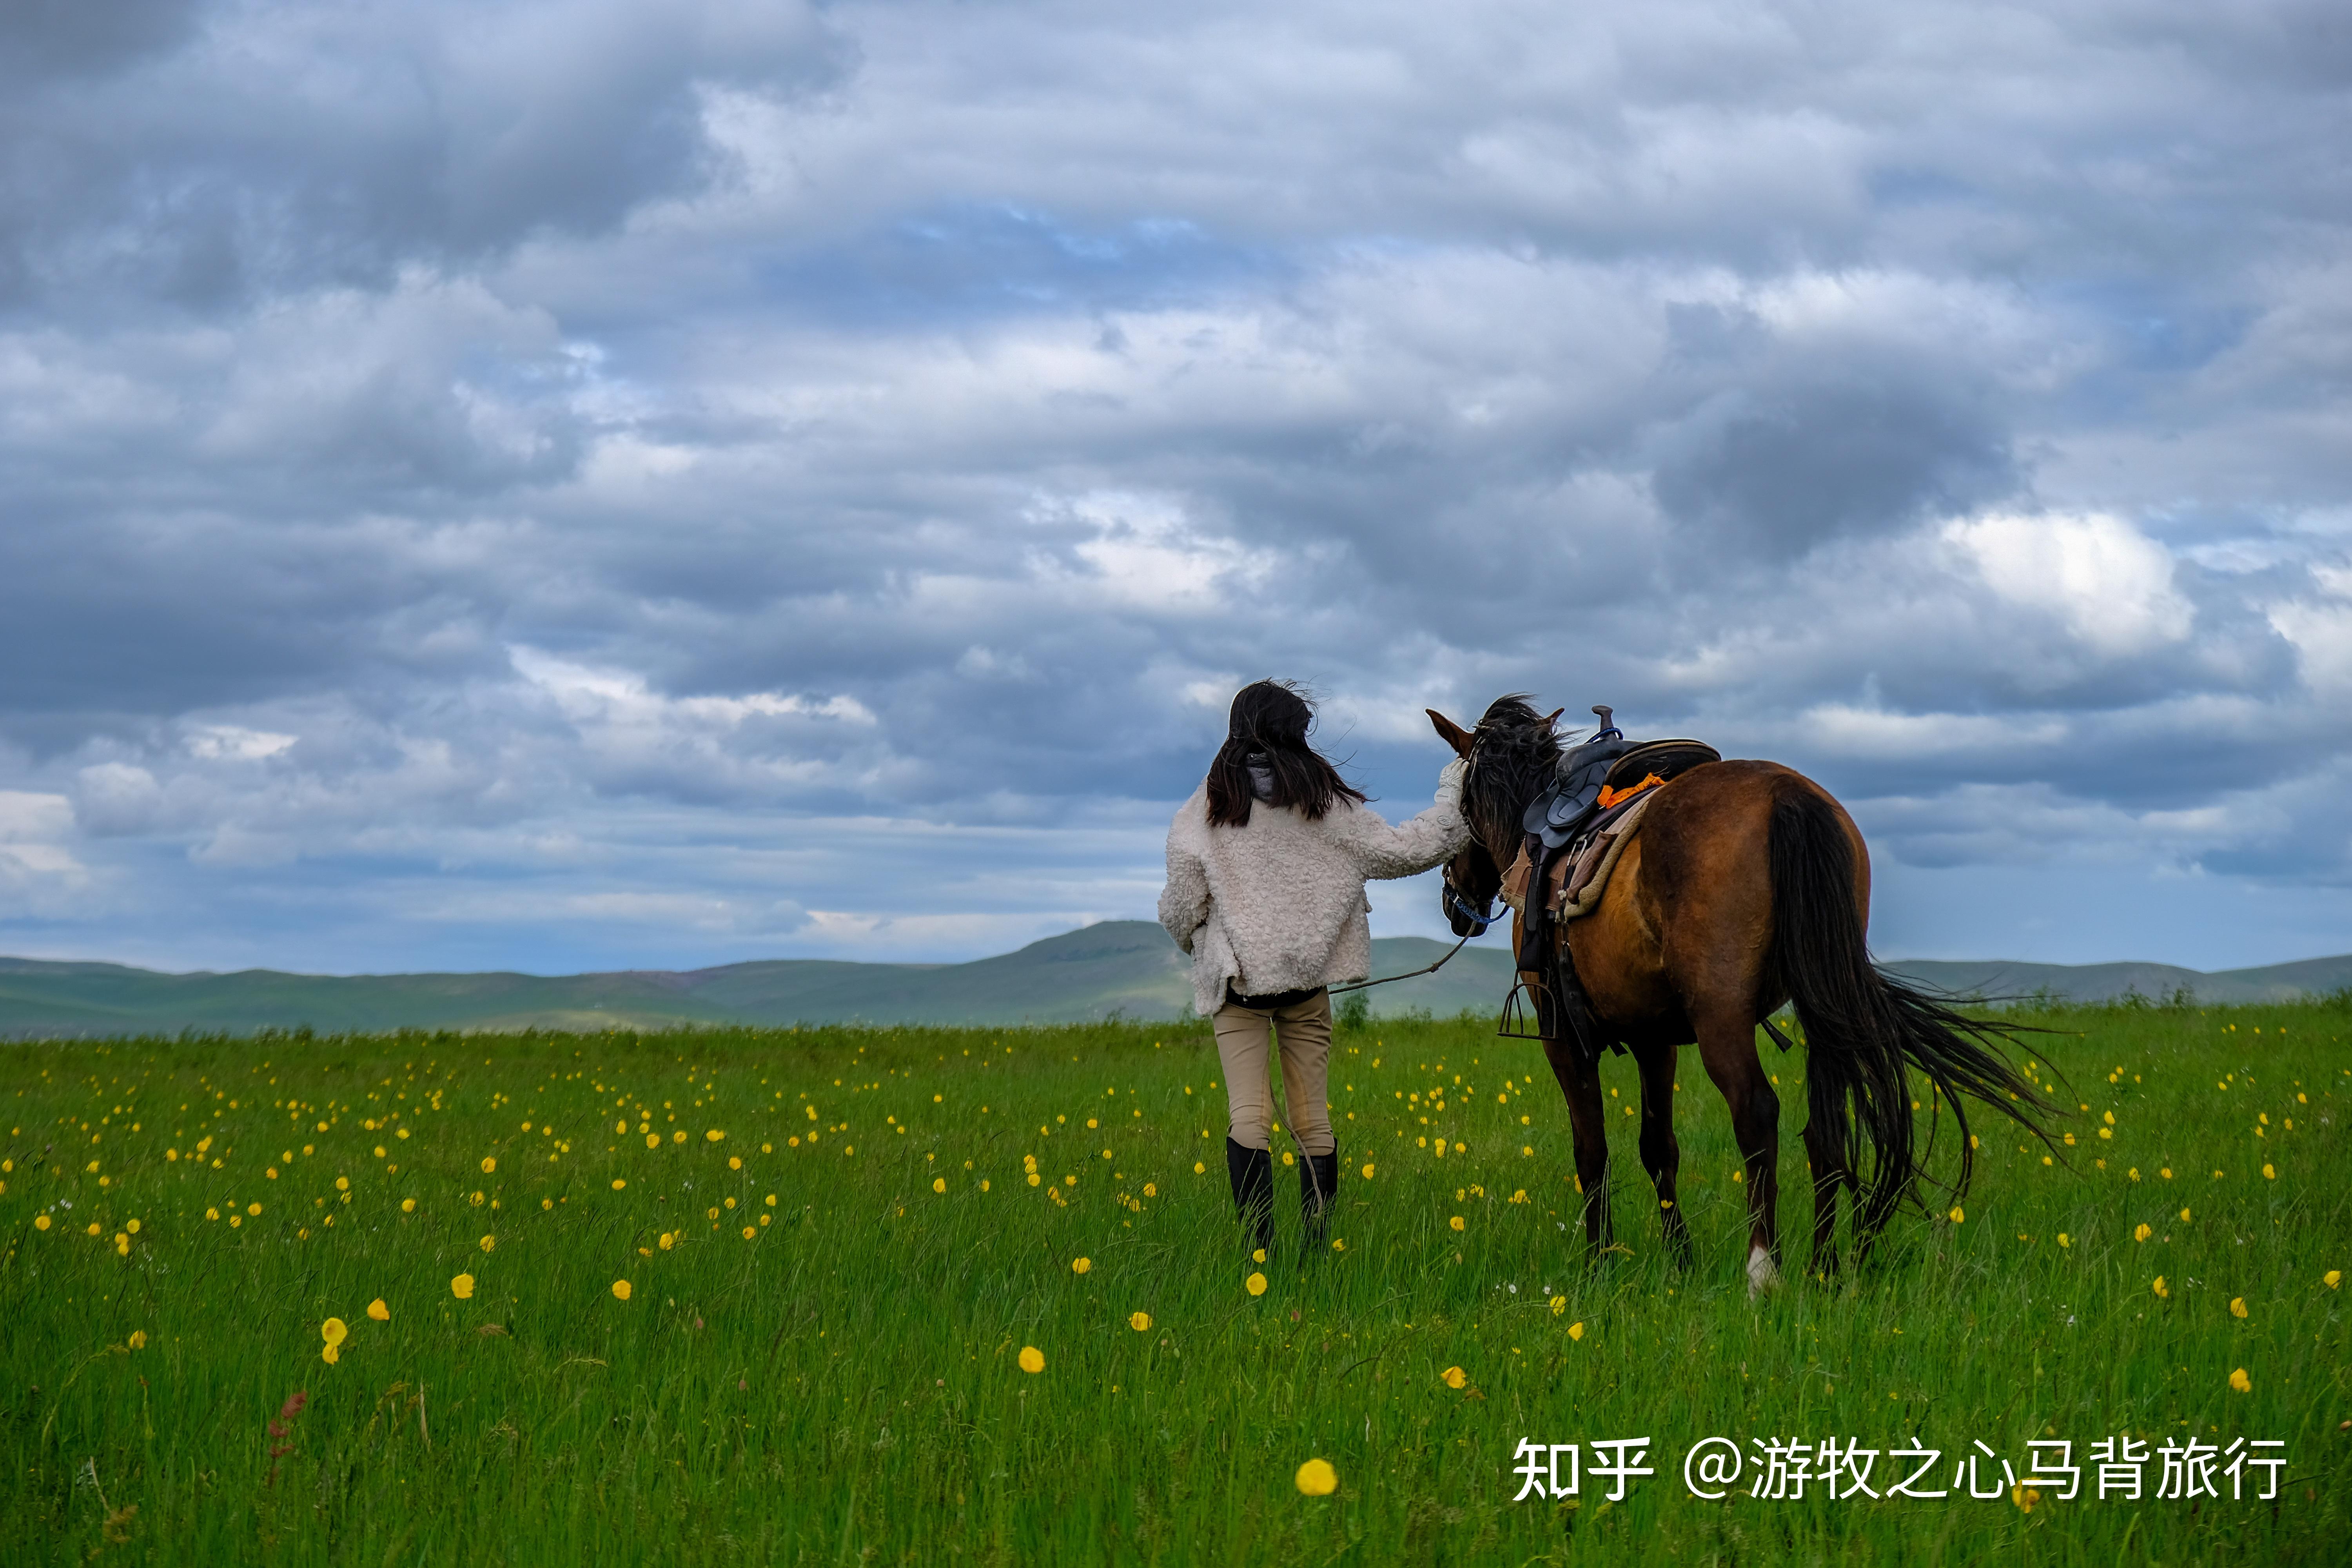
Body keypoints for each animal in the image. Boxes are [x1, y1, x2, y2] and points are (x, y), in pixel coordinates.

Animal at [1421, 701, 2051, 1288]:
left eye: (1458, 805)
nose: (1455, 904)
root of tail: (1787, 796)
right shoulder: (1655, 1040)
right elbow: (1659, 1147)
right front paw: (1681, 1263)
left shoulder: (1567, 1040)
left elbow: (1592, 1151)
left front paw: (1599, 1266)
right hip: (1820, 1010)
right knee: (1825, 1125)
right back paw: (1823, 1271)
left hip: (1721, 1016)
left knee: (1756, 1112)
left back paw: (1762, 1272)